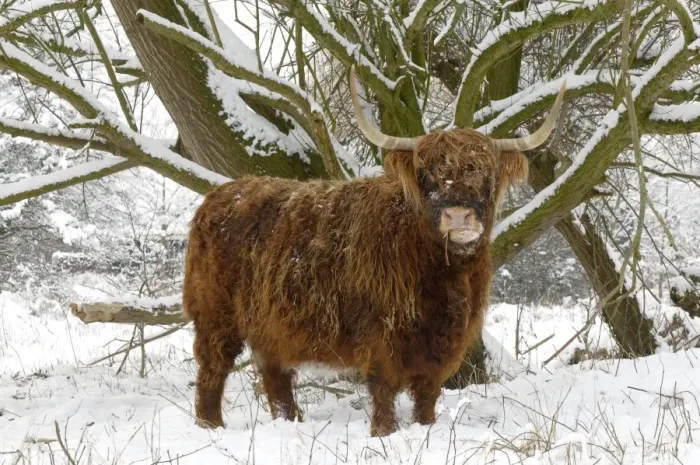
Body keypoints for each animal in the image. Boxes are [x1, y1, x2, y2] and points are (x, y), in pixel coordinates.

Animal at [182, 66, 566, 436]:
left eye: (486, 173)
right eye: (427, 174)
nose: (458, 215)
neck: (442, 273)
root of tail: (219, 195)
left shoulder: (445, 342)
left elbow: (427, 394)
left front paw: (426, 428)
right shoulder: (380, 334)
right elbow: (383, 388)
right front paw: (384, 432)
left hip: (269, 326)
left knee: (275, 376)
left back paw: (289, 422)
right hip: (215, 316)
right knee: (213, 368)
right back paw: (211, 426)